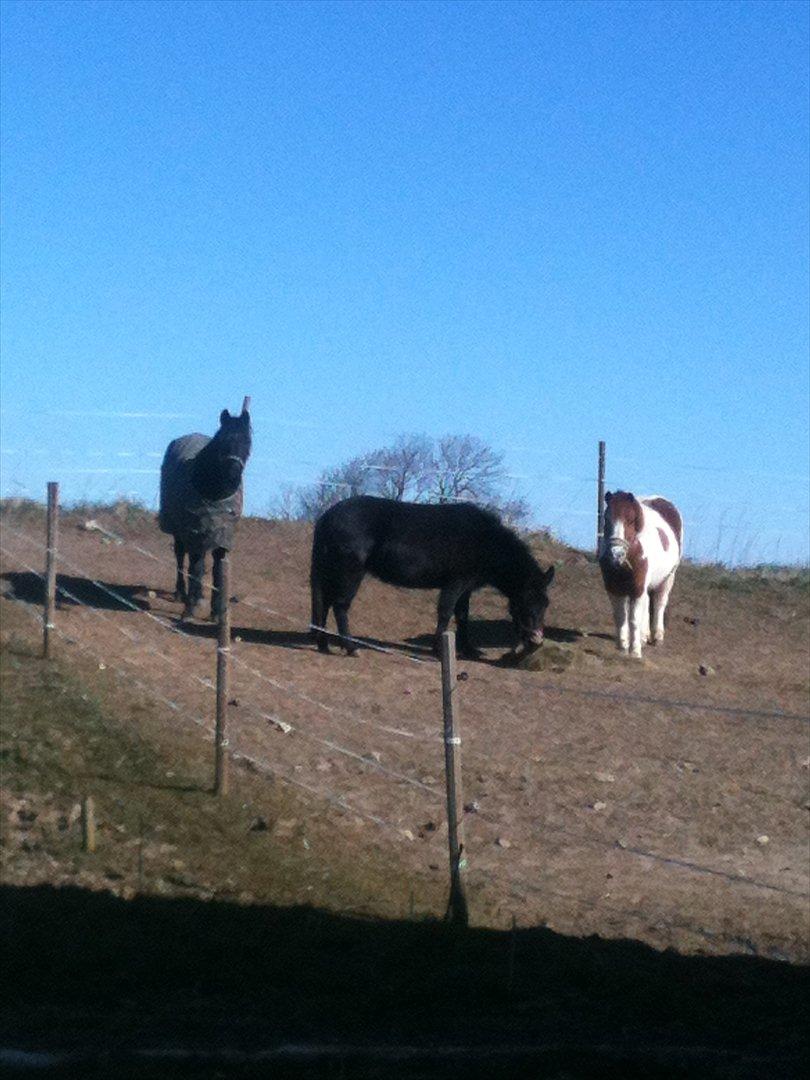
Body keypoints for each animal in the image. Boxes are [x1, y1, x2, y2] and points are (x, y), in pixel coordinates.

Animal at [158, 398, 252, 620]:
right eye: (223, 442)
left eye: (247, 442)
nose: (234, 478)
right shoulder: (195, 532)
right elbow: (196, 567)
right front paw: (189, 609)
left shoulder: (223, 536)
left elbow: (218, 570)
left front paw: (217, 612)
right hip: (179, 531)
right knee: (181, 557)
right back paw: (181, 593)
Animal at [310, 495, 555, 659]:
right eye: (525, 601)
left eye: (545, 603)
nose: (536, 640)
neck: (486, 541)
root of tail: (328, 516)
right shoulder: (455, 584)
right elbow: (446, 613)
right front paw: (438, 651)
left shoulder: (465, 588)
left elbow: (462, 616)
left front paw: (468, 650)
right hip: (349, 574)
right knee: (340, 606)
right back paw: (350, 648)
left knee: (323, 603)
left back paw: (323, 644)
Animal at [598, 491, 683, 659]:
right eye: (606, 518)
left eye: (631, 520)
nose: (616, 554)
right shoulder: (613, 589)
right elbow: (621, 617)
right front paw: (623, 646)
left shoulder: (637, 589)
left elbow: (634, 619)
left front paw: (635, 651)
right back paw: (644, 636)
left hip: (668, 578)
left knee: (660, 603)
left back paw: (657, 636)